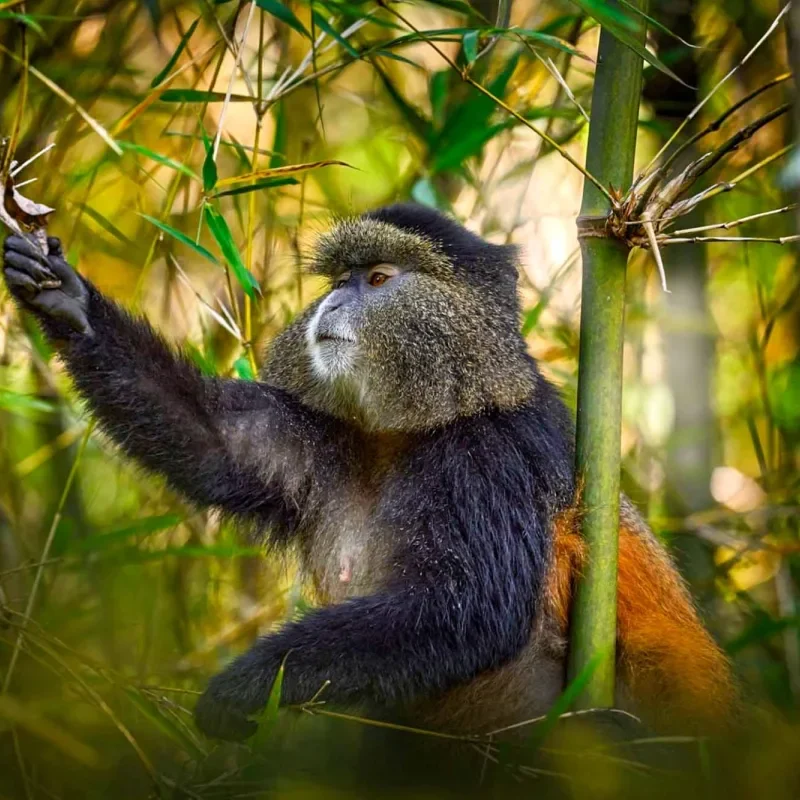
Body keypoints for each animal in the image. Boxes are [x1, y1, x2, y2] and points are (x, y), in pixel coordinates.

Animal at [1, 205, 738, 742]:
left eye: (379, 279)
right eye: (338, 281)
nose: (331, 306)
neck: (411, 431)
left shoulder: (494, 455)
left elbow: (467, 607)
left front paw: (244, 687)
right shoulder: (327, 438)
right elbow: (216, 441)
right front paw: (67, 300)